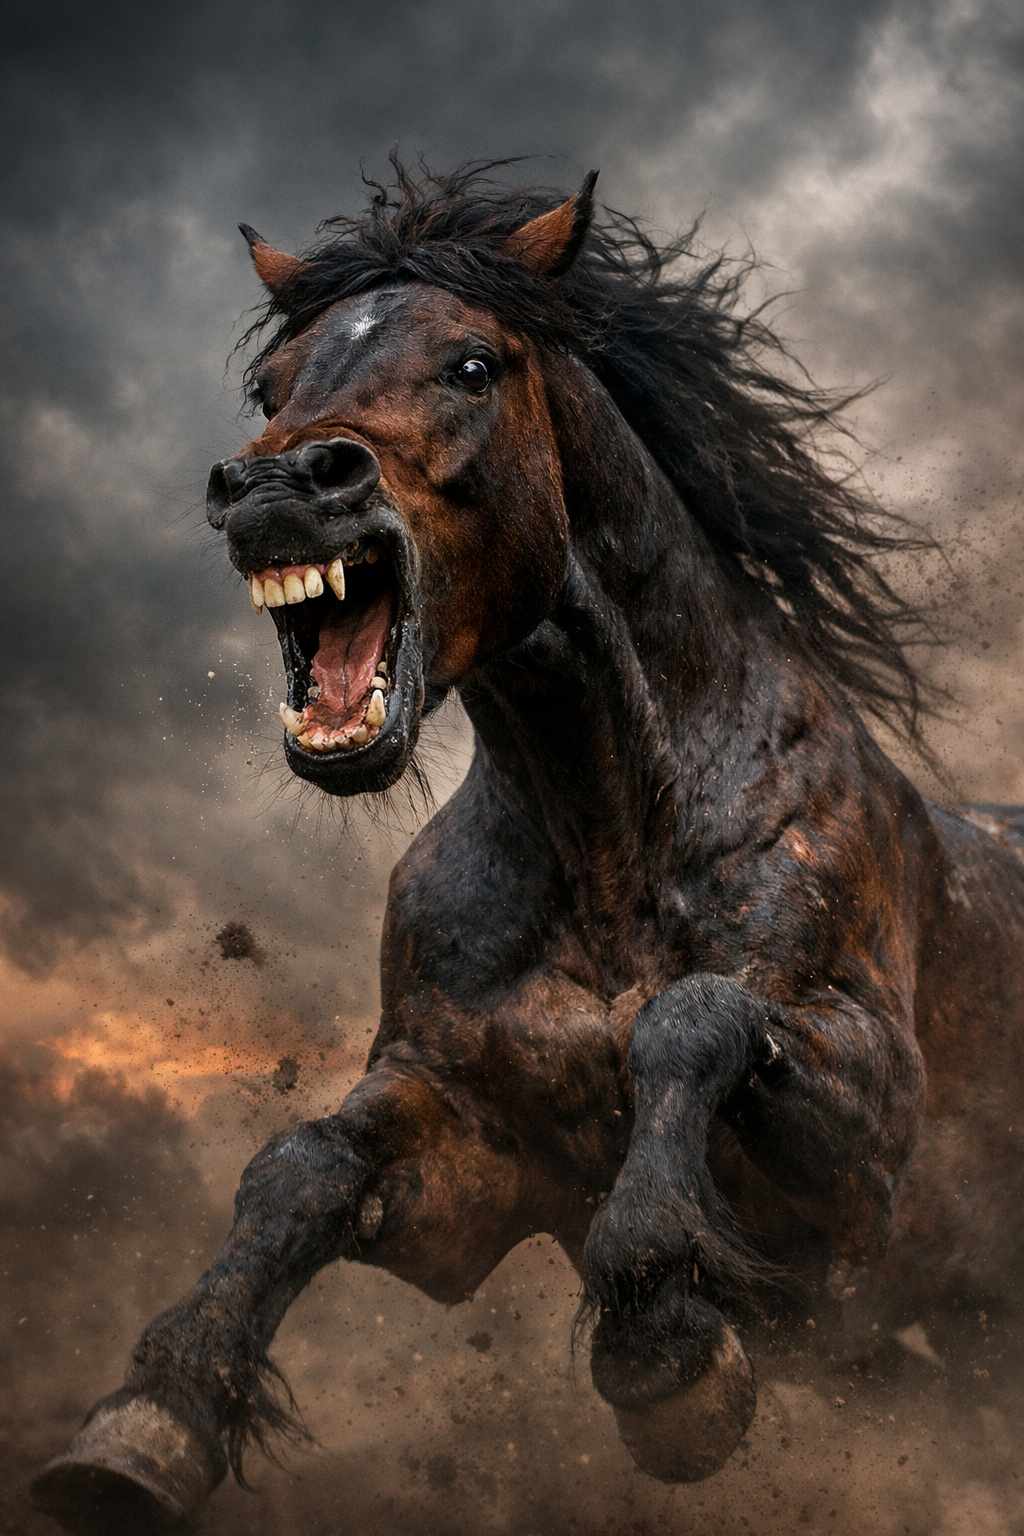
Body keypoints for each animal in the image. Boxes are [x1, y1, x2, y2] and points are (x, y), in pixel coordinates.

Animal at [32, 160, 1024, 1534]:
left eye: (470, 364)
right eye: (271, 384)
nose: (280, 488)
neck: (606, 830)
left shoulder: (867, 1155)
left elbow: (694, 1017)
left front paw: (662, 1343)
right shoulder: (466, 1145)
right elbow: (302, 1168)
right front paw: (147, 1420)